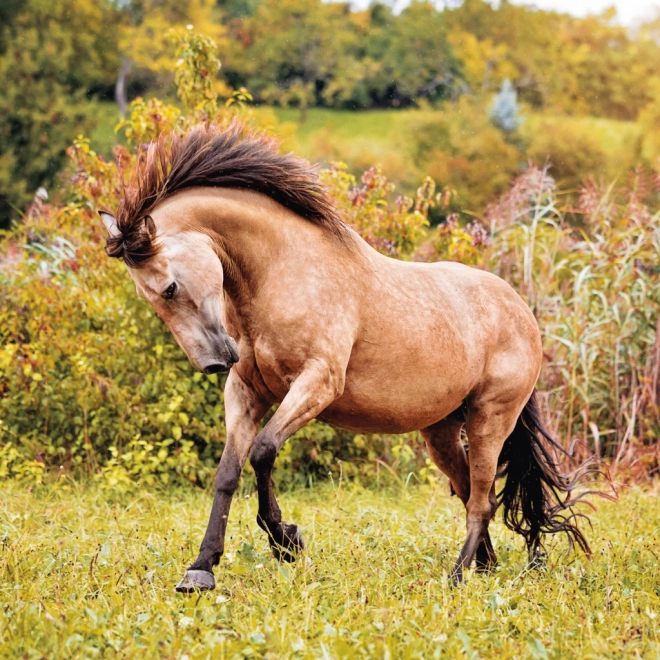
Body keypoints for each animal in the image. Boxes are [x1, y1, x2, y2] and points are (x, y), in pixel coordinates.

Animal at [100, 121, 592, 592]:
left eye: (169, 287)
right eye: (152, 298)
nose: (215, 362)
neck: (282, 272)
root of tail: (522, 312)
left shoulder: (318, 382)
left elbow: (263, 451)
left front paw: (286, 540)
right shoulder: (245, 391)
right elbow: (227, 472)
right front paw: (201, 569)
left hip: (491, 419)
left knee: (480, 501)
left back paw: (455, 578)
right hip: (442, 432)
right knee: (475, 492)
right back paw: (483, 568)